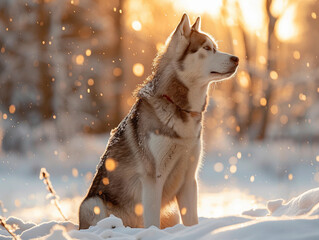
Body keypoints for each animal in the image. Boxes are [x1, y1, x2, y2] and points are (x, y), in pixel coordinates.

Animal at [79, 14, 240, 230]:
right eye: (207, 48)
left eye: (215, 46)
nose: (236, 58)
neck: (179, 107)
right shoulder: (153, 179)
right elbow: (152, 221)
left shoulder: (189, 180)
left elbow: (192, 221)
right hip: (92, 203)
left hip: (171, 214)